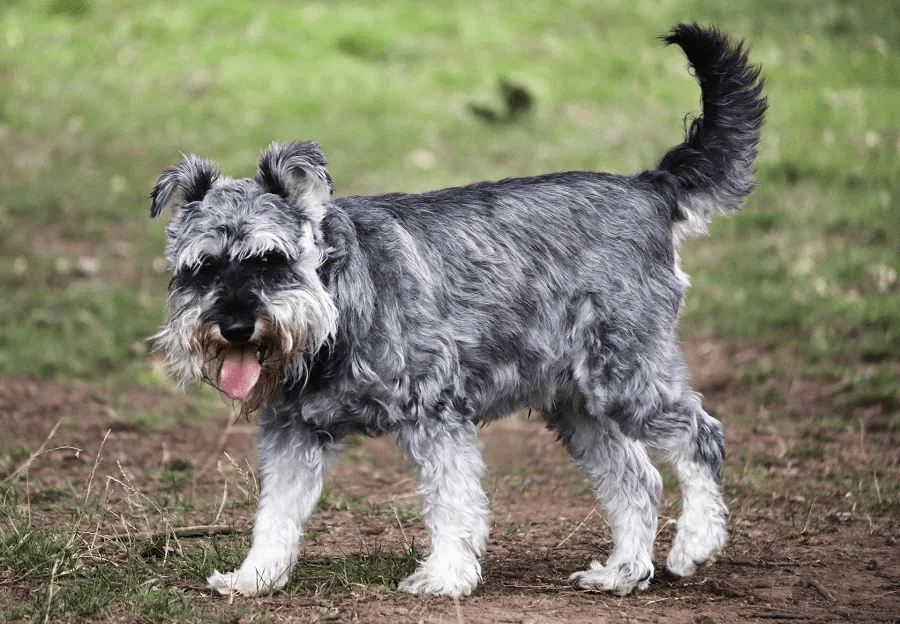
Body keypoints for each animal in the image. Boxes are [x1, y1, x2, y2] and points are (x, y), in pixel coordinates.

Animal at [149, 24, 768, 596]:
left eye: (271, 259)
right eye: (201, 267)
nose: (235, 326)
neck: (338, 302)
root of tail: (650, 188)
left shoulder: (435, 413)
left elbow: (453, 503)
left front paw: (445, 576)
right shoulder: (293, 431)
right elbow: (275, 514)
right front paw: (253, 577)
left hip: (626, 373)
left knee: (699, 436)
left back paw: (695, 543)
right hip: (579, 405)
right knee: (636, 479)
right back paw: (622, 573)